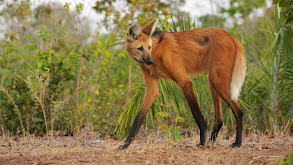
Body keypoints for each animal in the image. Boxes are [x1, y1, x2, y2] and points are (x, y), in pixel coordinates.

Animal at [118, 18, 244, 150]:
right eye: (140, 48)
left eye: (149, 47)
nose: (150, 61)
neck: (156, 52)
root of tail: (230, 35)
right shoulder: (152, 89)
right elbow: (138, 118)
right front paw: (126, 144)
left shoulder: (185, 82)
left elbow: (196, 114)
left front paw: (201, 142)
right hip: (213, 81)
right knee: (219, 119)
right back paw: (211, 142)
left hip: (216, 81)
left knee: (239, 111)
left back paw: (237, 142)